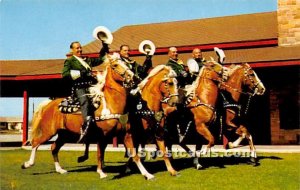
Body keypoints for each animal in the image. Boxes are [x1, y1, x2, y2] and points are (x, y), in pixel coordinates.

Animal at [21, 53, 155, 180]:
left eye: (127, 64)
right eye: (115, 65)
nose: (133, 77)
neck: (110, 104)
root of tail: (49, 104)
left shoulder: (126, 134)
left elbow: (135, 155)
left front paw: (147, 175)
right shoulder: (103, 136)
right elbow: (100, 154)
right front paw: (101, 173)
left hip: (65, 134)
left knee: (54, 147)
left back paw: (60, 170)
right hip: (49, 131)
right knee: (36, 143)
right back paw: (27, 164)